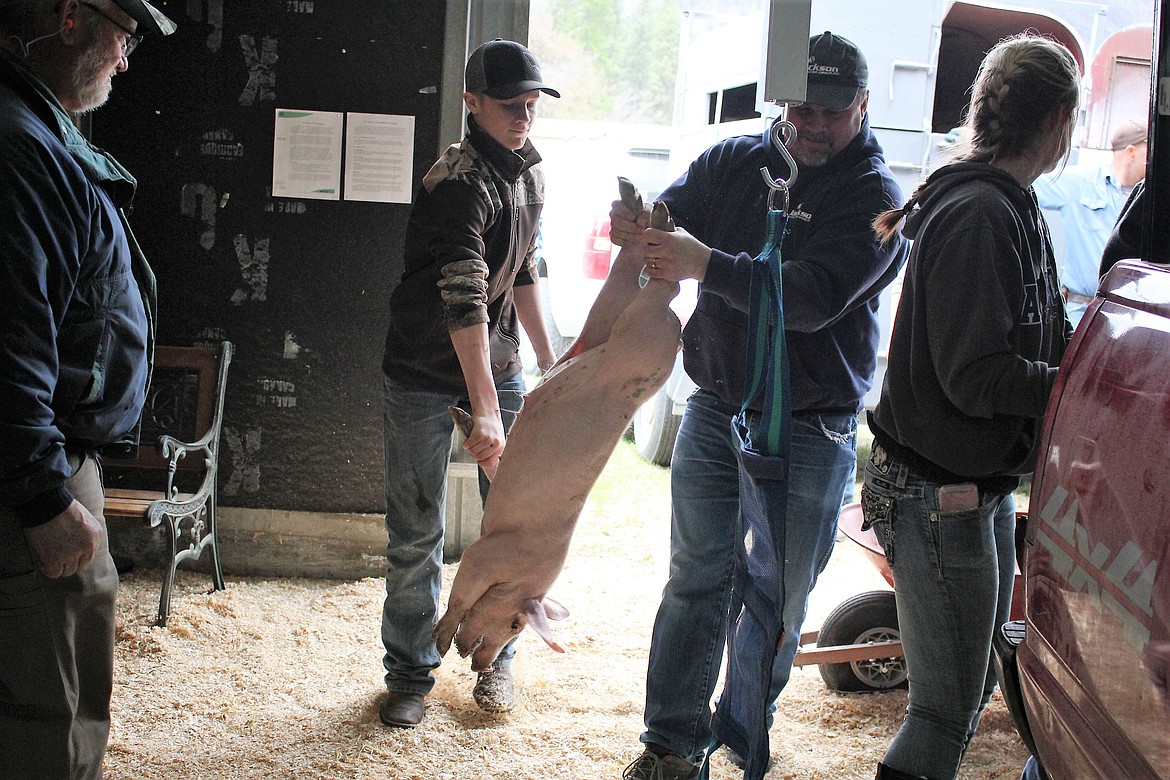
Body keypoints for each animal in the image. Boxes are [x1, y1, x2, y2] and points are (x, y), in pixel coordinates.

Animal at [435, 178, 683, 673]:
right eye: (516, 624)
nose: (478, 661)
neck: (523, 574)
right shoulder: (485, 555)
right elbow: (460, 594)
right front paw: (438, 642)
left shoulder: (489, 540)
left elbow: (493, 464)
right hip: (634, 332)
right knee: (655, 282)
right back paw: (651, 212)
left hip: (616, 326)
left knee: (634, 275)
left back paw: (642, 205)